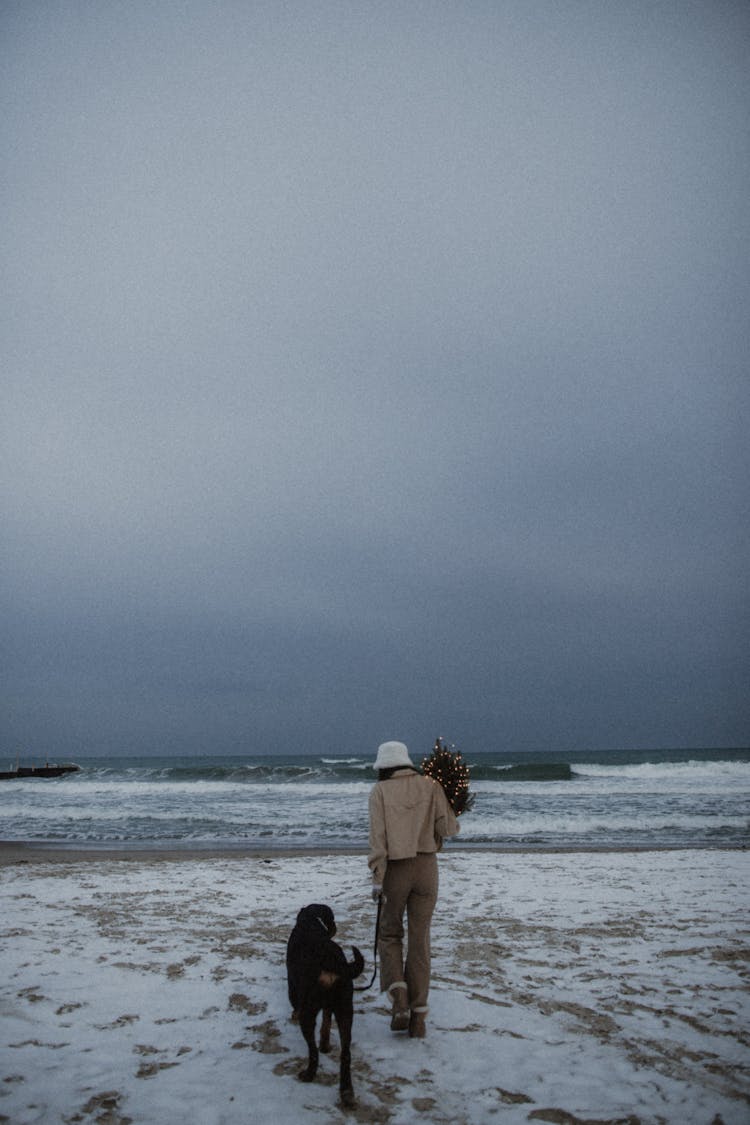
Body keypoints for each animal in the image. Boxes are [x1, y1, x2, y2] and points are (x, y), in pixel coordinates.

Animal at [285, 904, 364, 1107]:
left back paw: (309, 1074)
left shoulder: (293, 986)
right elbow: (326, 1023)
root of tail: (330, 961)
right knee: (345, 1053)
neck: (310, 923)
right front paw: (325, 1044)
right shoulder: (331, 1006)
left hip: (309, 1010)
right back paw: (346, 1091)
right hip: (345, 1009)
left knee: (312, 1051)